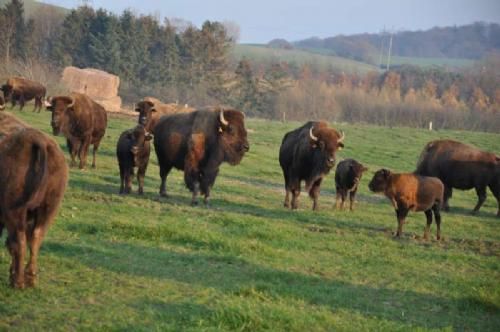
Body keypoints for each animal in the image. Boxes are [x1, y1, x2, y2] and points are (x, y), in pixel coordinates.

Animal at [0, 112, 68, 288]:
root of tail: (38, 140)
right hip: (48, 208)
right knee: (35, 238)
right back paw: (30, 277)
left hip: (14, 212)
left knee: (19, 241)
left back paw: (18, 282)